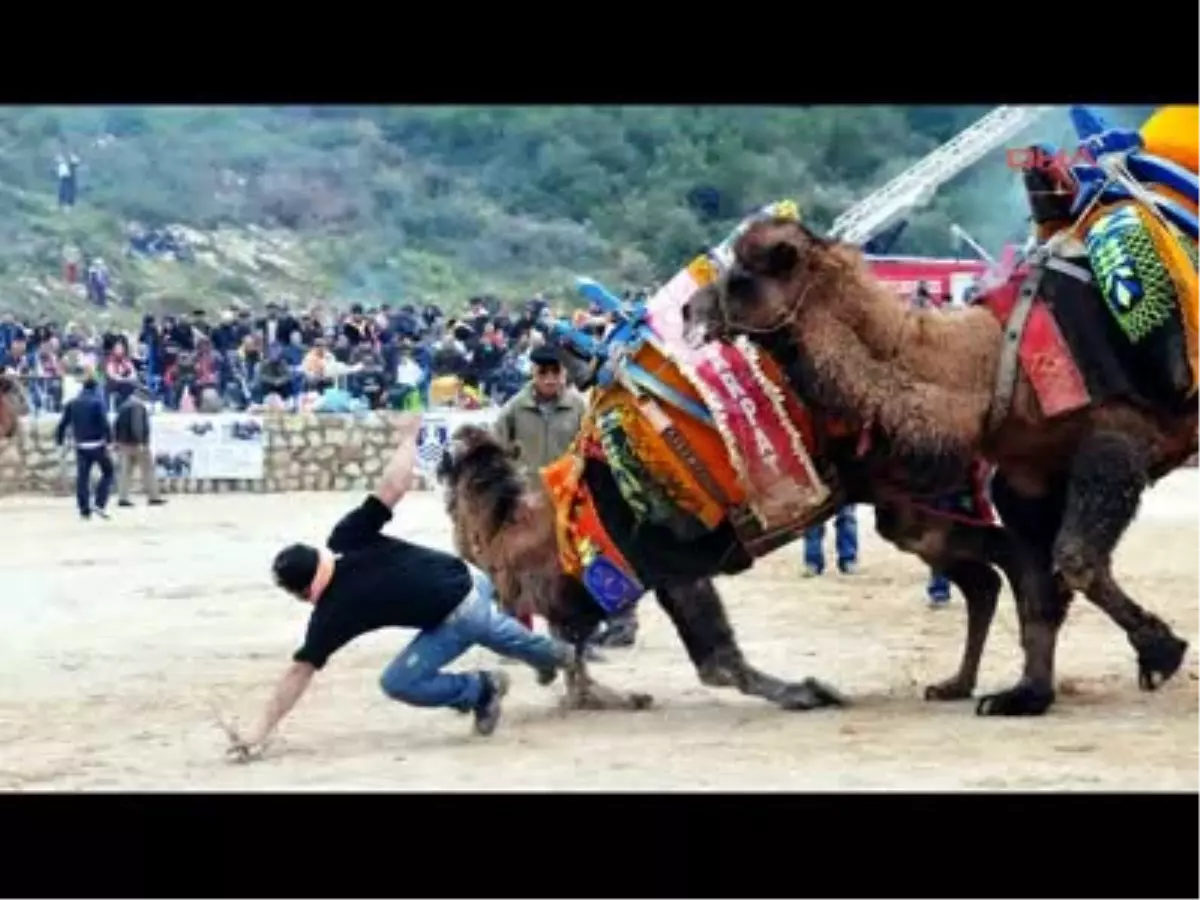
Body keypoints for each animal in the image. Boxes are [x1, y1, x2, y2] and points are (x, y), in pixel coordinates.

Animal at [681, 210, 1195, 710]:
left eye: (741, 278)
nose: (688, 310)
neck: (987, 366)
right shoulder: (1029, 472)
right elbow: (1040, 582)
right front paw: (1023, 695)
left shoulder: (1116, 437)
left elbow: (1074, 559)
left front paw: (1161, 652)